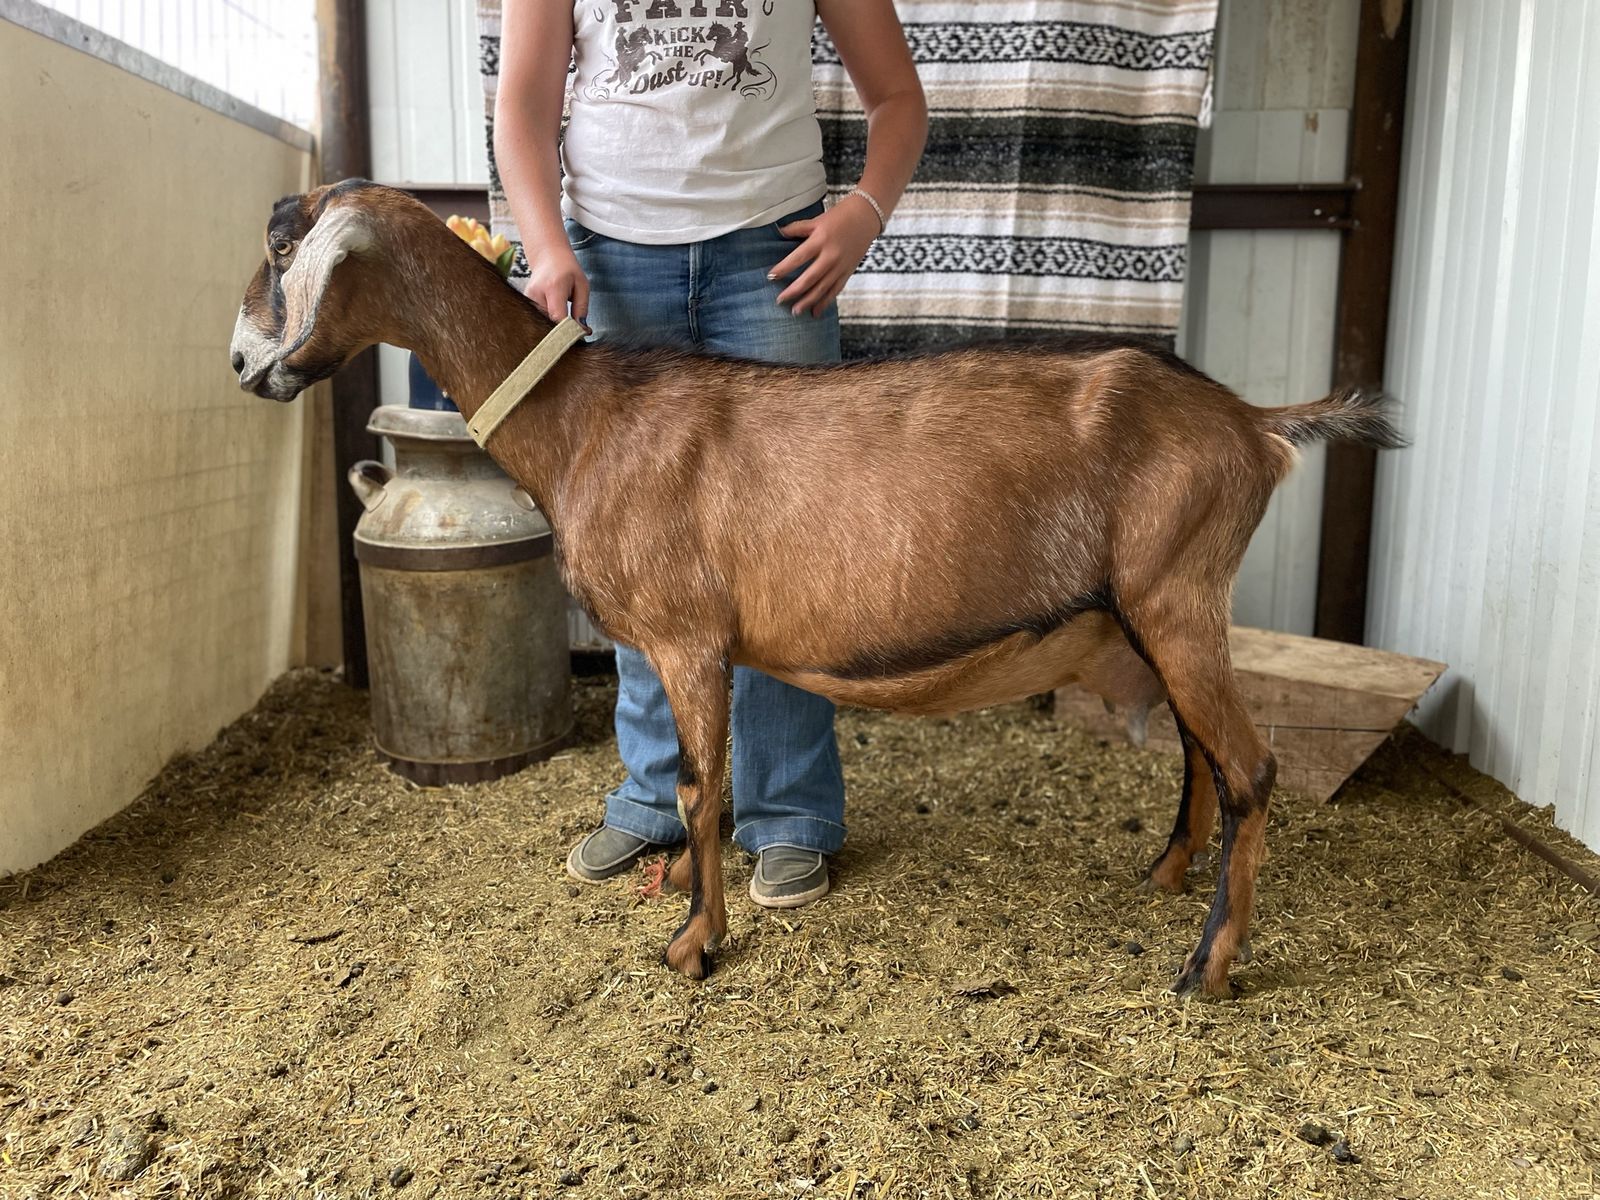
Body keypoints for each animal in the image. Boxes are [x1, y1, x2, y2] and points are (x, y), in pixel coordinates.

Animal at [231, 181, 1403, 997]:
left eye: (282, 243)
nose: (244, 367)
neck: (582, 420)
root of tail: (1254, 426)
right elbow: (703, 786)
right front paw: (687, 906)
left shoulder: (687, 636)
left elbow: (701, 788)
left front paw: (694, 943)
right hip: (1160, 613)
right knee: (1204, 753)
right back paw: (1165, 877)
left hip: (1176, 593)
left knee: (1252, 767)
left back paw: (1208, 967)